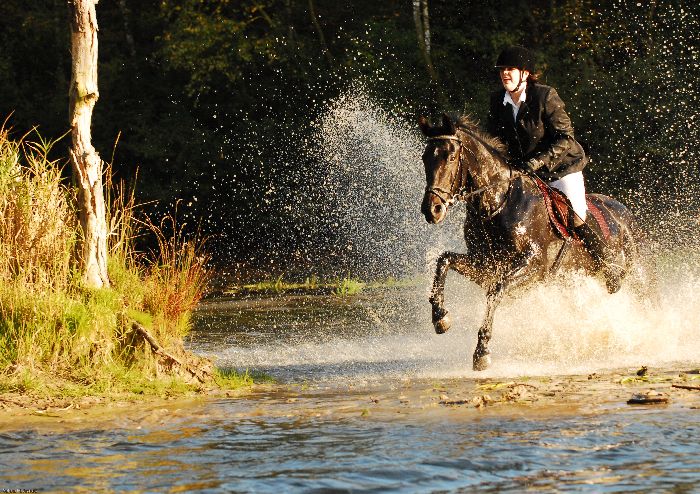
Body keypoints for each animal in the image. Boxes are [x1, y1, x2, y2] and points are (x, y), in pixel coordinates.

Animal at [418, 114, 644, 372]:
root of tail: (624, 212)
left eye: (451, 157)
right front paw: (440, 316)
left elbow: (496, 291)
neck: (498, 204)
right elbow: (444, 260)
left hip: (632, 273)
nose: (432, 210)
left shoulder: (535, 266)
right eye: (425, 158)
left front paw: (482, 351)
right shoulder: (485, 265)